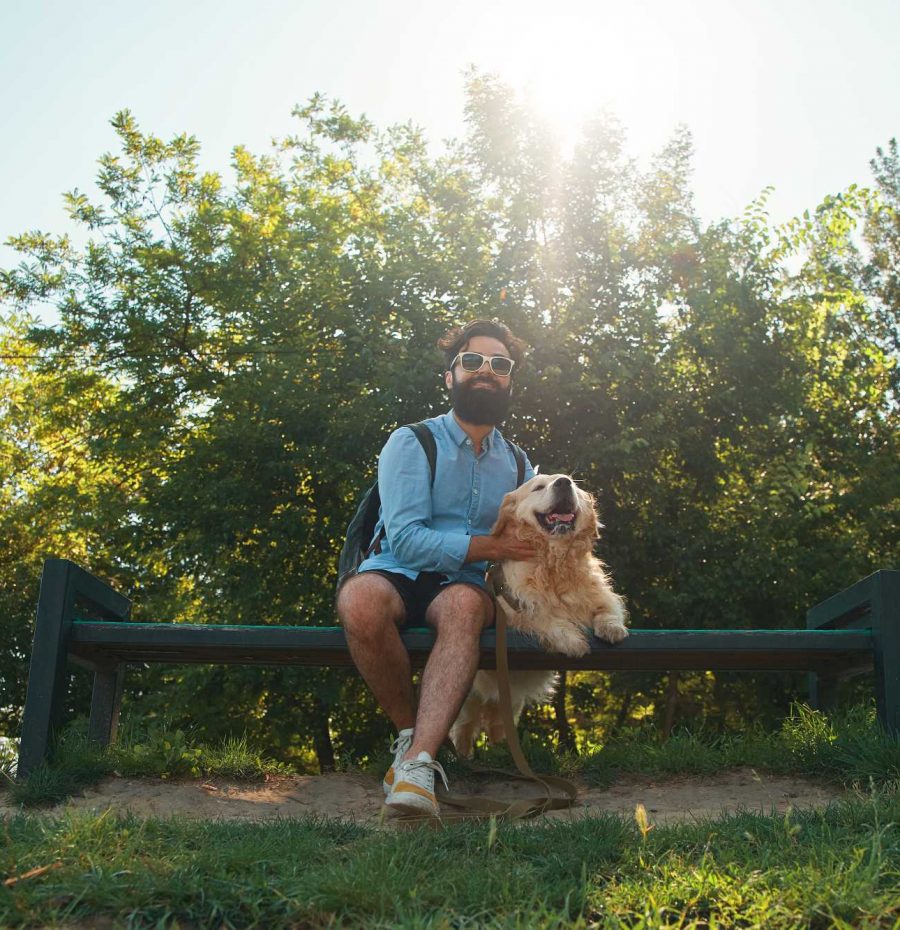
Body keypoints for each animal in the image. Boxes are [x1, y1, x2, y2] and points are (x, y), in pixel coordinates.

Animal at [448, 472, 624, 752]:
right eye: (538, 487)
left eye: (574, 484)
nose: (563, 483)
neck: (555, 562)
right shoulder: (516, 609)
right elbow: (543, 617)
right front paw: (573, 641)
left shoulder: (597, 594)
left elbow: (606, 609)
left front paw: (613, 627)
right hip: (469, 700)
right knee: (463, 733)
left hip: (509, 704)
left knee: (499, 729)